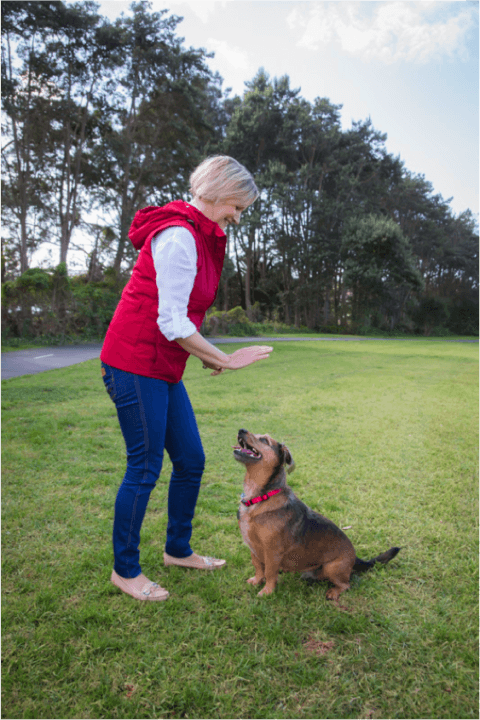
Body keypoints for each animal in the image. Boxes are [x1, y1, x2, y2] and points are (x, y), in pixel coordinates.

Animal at [234, 430, 400, 600]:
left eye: (264, 440)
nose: (241, 430)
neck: (259, 498)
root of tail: (355, 558)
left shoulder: (272, 552)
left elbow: (269, 572)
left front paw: (267, 592)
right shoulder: (253, 547)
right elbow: (258, 567)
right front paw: (256, 581)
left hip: (332, 568)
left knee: (346, 584)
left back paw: (333, 592)